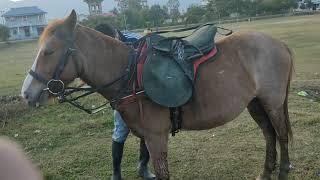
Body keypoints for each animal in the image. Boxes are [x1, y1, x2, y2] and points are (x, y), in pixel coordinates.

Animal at [21, 10, 294, 179]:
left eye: (48, 51)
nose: (26, 93)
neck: (128, 71)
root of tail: (279, 43)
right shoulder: (148, 136)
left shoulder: (156, 138)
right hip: (255, 103)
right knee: (268, 134)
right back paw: (266, 172)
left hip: (272, 102)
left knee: (280, 134)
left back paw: (282, 171)